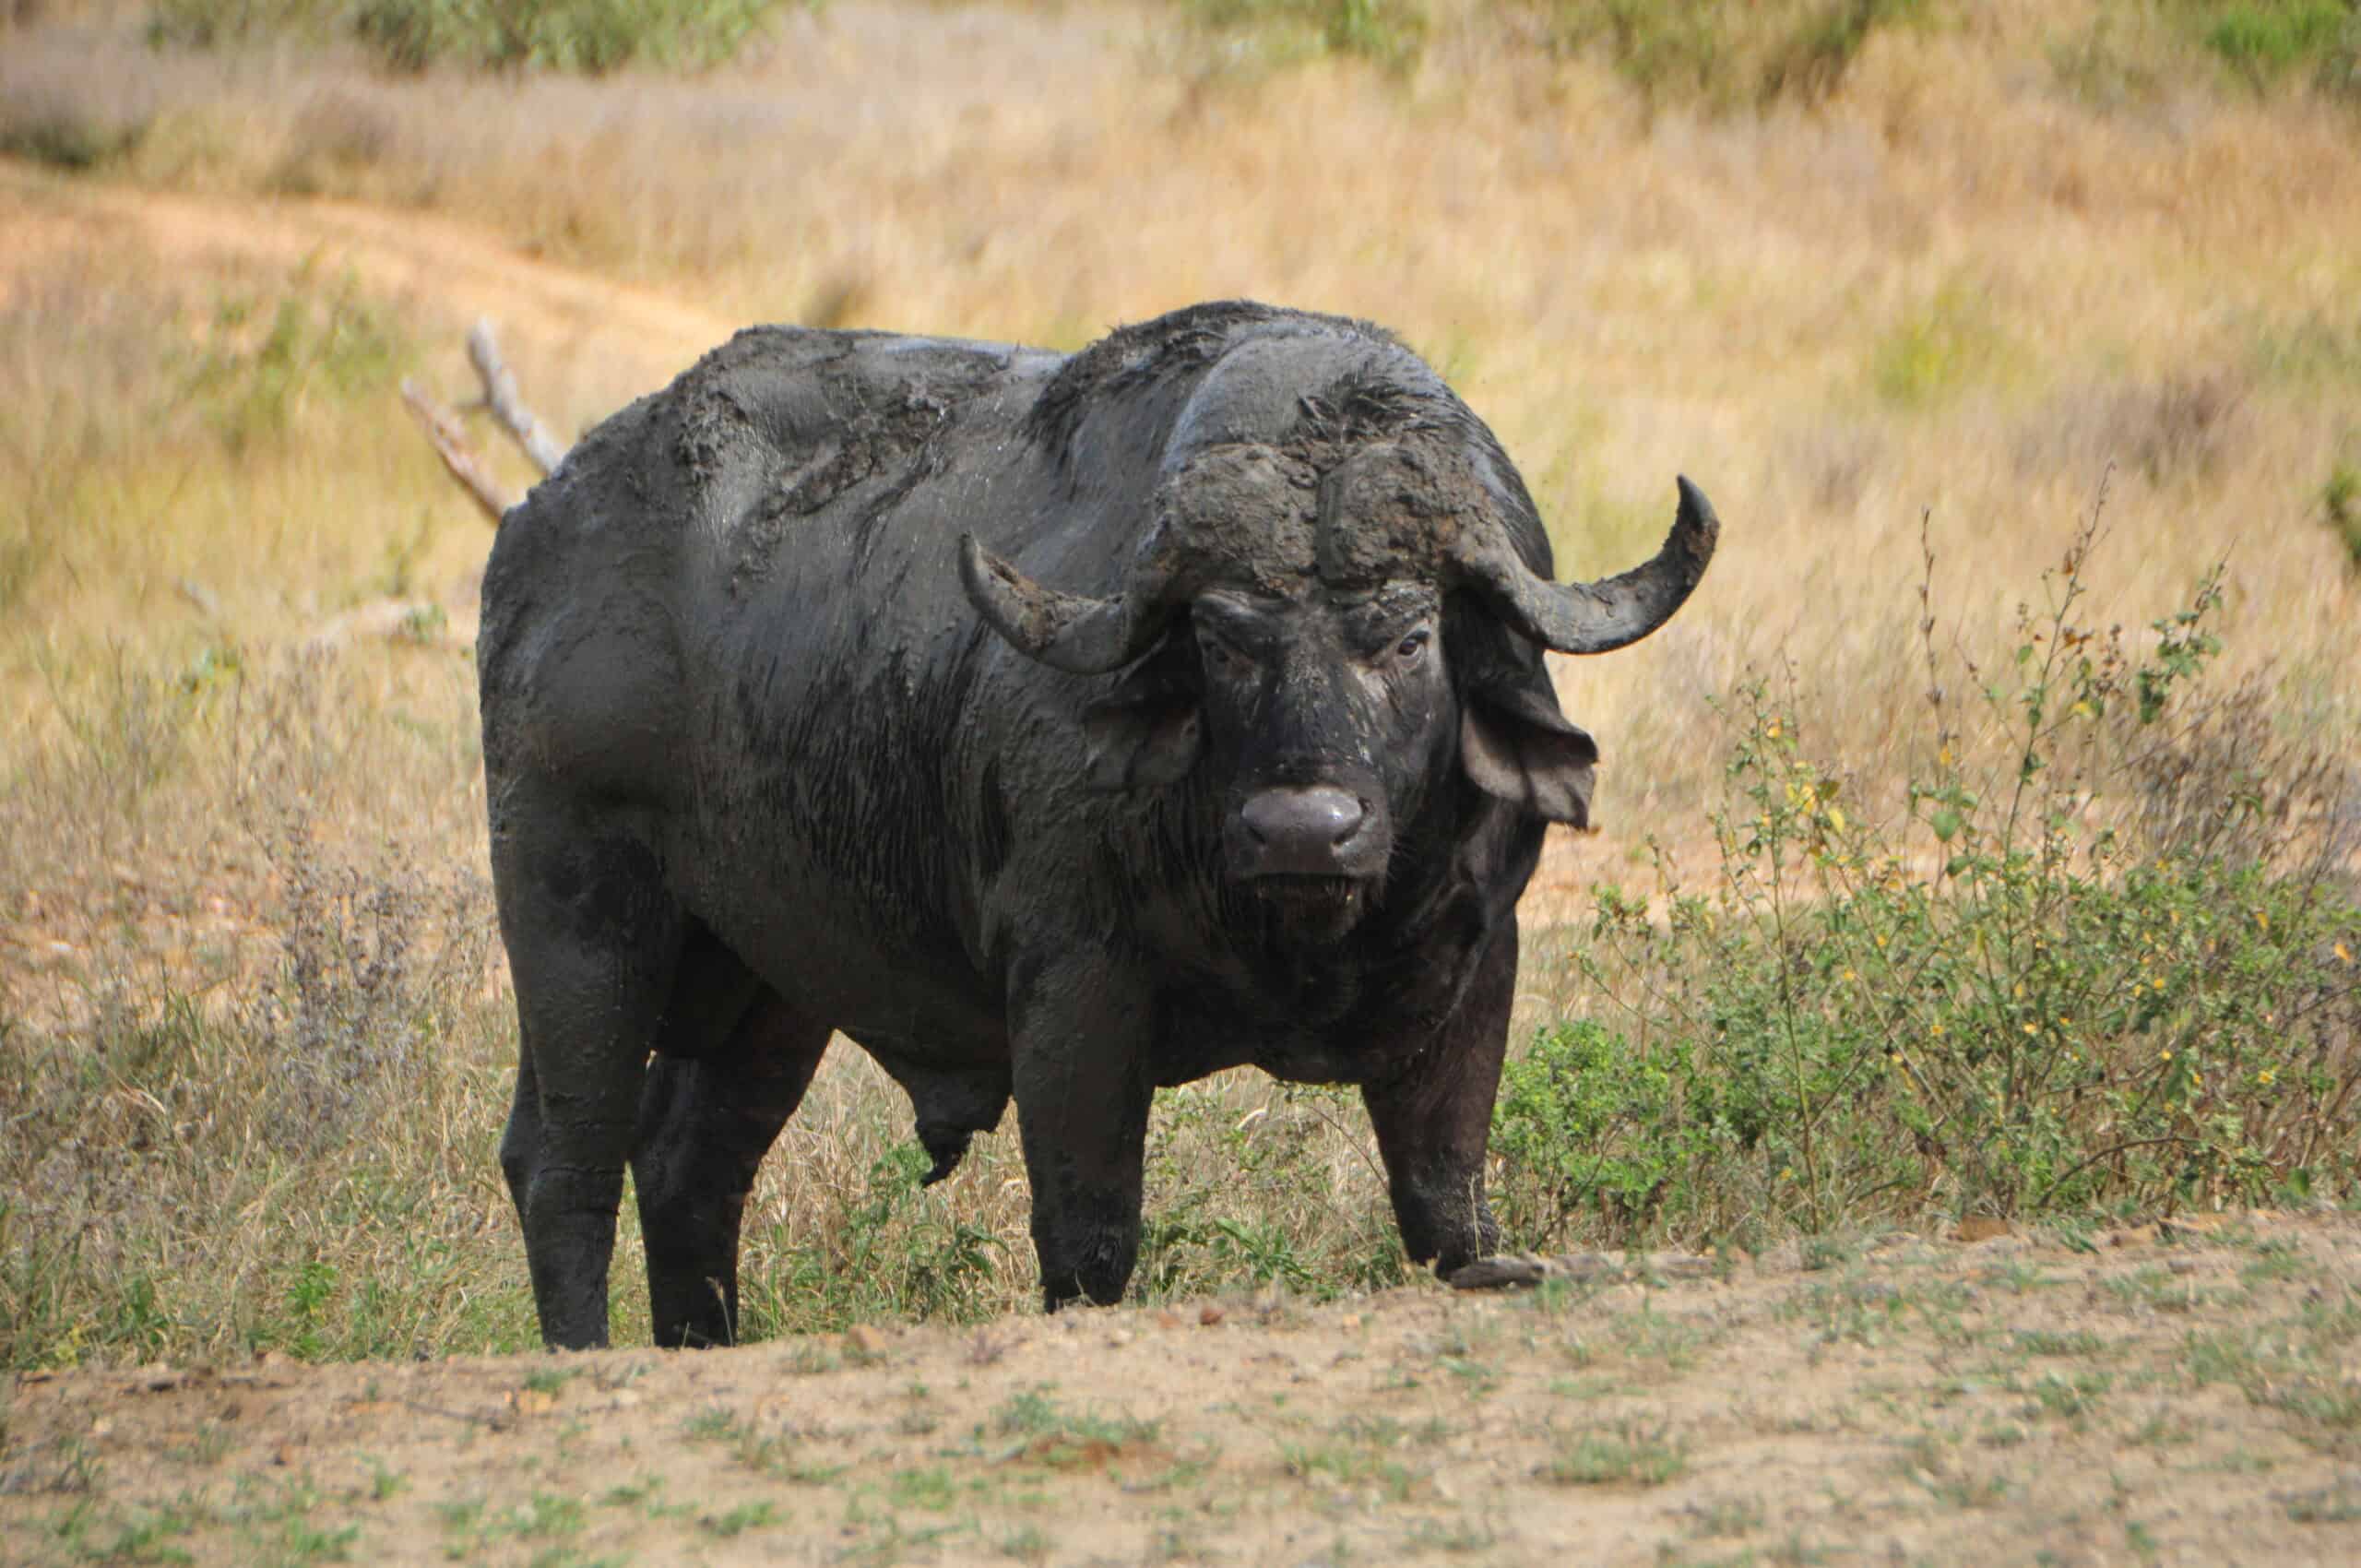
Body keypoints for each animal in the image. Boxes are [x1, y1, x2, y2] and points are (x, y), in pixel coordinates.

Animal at [478, 301, 1717, 1349]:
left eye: (1410, 635)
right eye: (1221, 638)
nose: (1302, 830)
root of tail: (540, 530)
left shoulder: (1477, 961)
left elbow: (1448, 1210)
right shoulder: (1074, 985)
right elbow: (1090, 1238)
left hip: (768, 975)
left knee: (687, 1161)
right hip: (576, 910)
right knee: (564, 1156)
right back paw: (584, 1349)